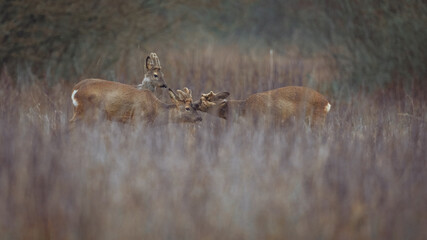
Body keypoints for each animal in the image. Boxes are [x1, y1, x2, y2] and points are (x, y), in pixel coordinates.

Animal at [70, 79, 202, 126]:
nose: (200, 118)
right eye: (187, 108)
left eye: (195, 107)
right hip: (88, 111)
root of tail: (75, 90)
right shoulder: (138, 119)